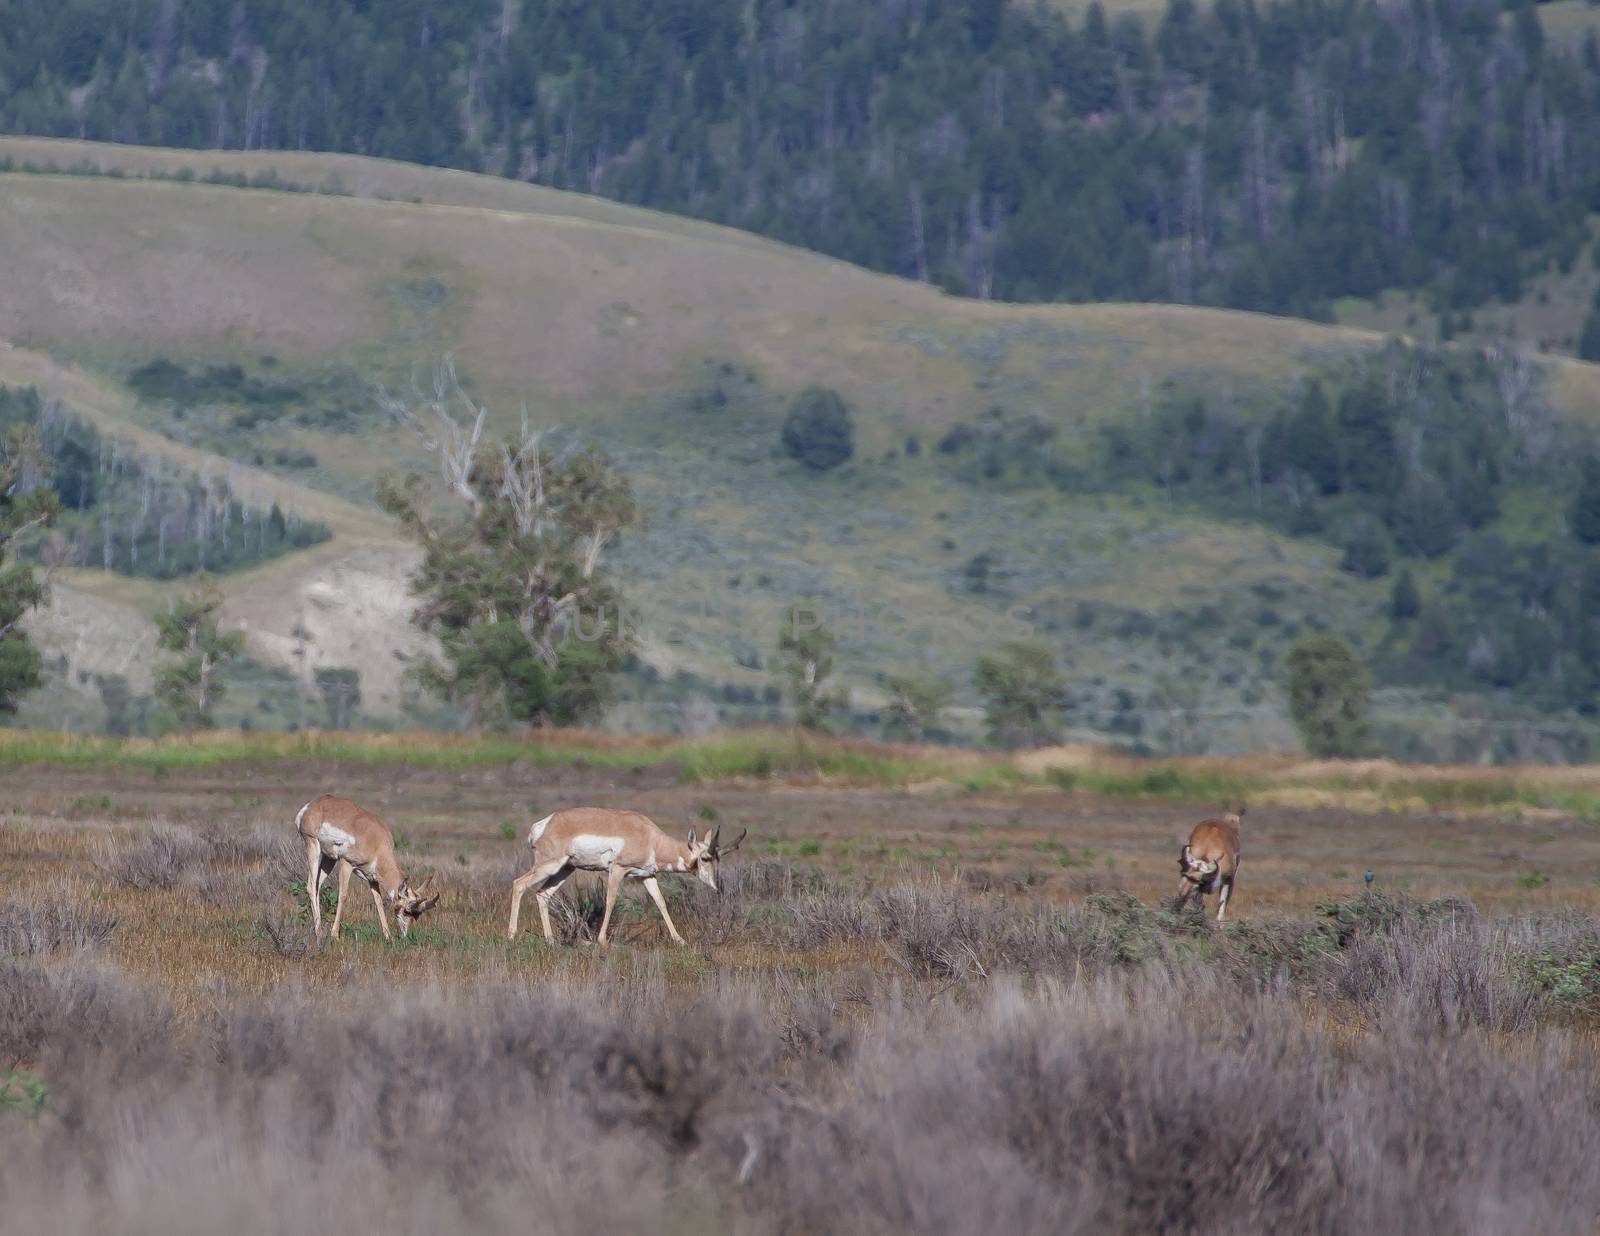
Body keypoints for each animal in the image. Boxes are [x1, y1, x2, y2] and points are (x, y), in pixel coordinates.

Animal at [294, 797, 438, 941]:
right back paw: (318, 932)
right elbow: (343, 895)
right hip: (313, 846)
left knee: (317, 886)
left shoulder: (372, 878)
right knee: (311, 886)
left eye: (417, 915)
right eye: (407, 911)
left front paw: (388, 936)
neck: (377, 843)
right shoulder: (346, 863)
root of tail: (311, 805)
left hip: (329, 859)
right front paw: (335, 935)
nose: (405, 936)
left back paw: (319, 929)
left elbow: (378, 901)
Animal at [505, 810, 742, 947]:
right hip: (550, 865)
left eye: (718, 858)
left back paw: (551, 941)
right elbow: (610, 901)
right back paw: (511, 936)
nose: (716, 886)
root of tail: (544, 824)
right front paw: (602, 940)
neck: (651, 838)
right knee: (519, 884)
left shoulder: (648, 876)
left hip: (565, 869)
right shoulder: (618, 870)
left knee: (542, 894)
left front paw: (680, 940)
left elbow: (661, 903)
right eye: (705, 857)